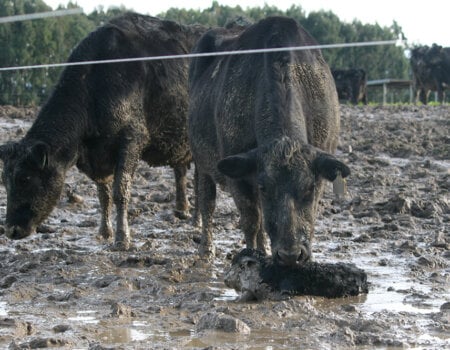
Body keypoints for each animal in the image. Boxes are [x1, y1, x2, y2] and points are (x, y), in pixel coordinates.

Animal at [0, 13, 206, 249]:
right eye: (4, 181)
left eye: (25, 178)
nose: (11, 230)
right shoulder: (97, 156)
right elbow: (103, 194)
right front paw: (104, 232)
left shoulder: (132, 139)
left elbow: (120, 191)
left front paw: (122, 238)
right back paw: (186, 214)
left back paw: (197, 220)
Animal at [188, 15, 350, 264]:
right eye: (265, 187)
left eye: (309, 187)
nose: (290, 255)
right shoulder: (238, 176)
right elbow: (251, 219)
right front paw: (251, 254)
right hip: (202, 161)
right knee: (208, 202)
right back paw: (206, 249)